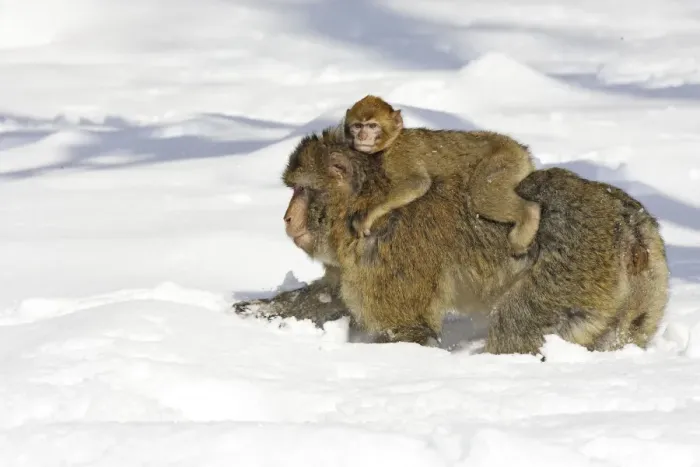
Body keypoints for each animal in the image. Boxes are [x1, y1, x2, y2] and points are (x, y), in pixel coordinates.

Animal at [250, 127, 669, 355]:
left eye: (302, 191)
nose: (287, 218)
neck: (369, 203)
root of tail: (630, 226)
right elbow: (332, 298)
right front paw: (254, 313)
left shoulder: (389, 254)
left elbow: (406, 331)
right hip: (646, 291)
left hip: (571, 275)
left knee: (518, 324)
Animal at [343, 95, 541, 256]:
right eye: (357, 126)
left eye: (372, 126)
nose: (362, 136)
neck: (393, 141)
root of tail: (522, 150)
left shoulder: (399, 156)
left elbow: (418, 183)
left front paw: (368, 215)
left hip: (504, 160)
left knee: (482, 195)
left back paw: (527, 220)